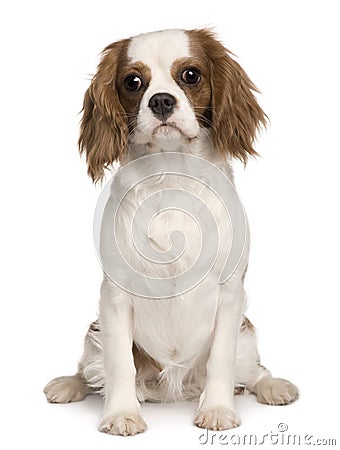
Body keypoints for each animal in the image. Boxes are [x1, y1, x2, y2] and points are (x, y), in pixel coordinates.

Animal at [43, 28, 298, 436]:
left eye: (191, 75)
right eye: (133, 82)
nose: (161, 100)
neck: (171, 172)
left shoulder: (230, 295)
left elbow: (221, 359)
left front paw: (217, 410)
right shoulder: (114, 297)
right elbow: (120, 363)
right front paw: (121, 414)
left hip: (247, 336)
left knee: (253, 371)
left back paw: (274, 386)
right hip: (94, 334)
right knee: (92, 370)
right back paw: (69, 384)